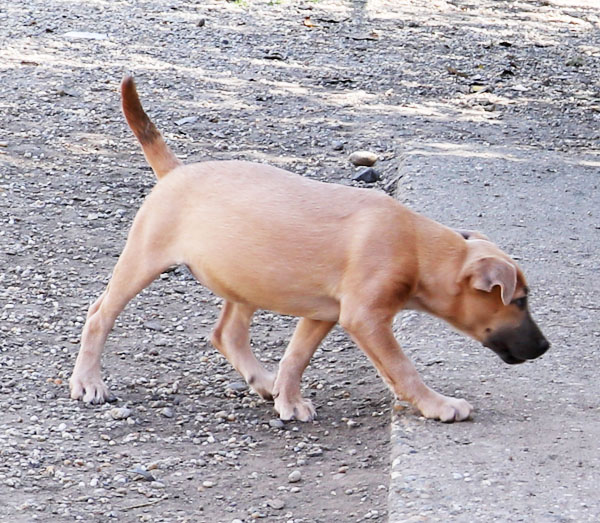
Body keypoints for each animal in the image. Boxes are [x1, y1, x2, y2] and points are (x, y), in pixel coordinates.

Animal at [69, 77, 548, 422]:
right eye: (519, 301)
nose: (544, 348)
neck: (418, 247)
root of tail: (175, 173)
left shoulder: (324, 314)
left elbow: (296, 358)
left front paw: (288, 398)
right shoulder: (366, 319)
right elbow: (402, 368)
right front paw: (438, 405)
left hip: (246, 279)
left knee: (228, 334)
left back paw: (262, 380)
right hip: (143, 260)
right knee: (100, 313)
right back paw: (88, 381)